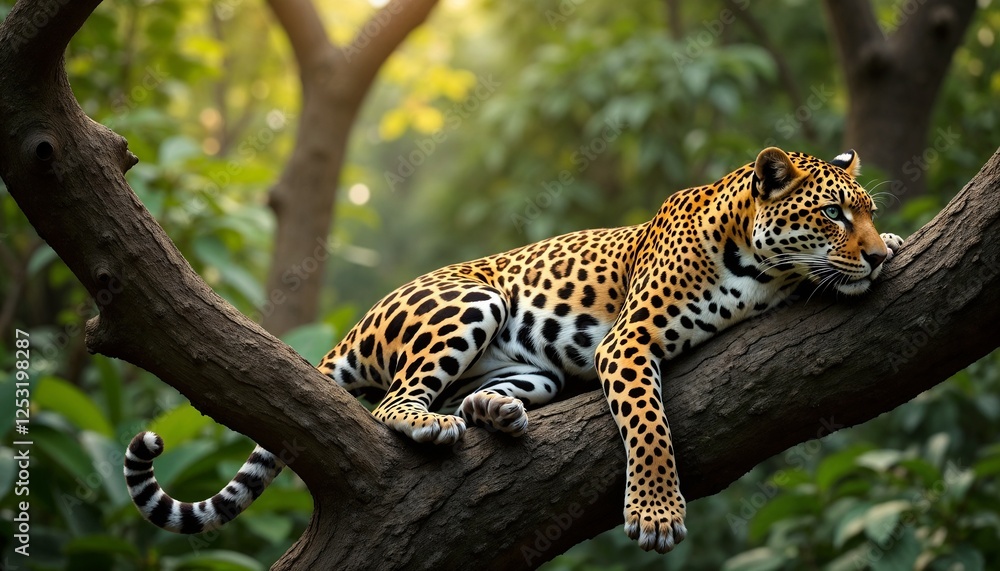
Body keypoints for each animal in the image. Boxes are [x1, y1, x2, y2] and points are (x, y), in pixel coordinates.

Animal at [125, 146, 903, 553]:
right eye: (834, 213)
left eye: (868, 210)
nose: (870, 252)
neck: (754, 261)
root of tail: (357, 325)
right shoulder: (627, 340)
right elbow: (649, 426)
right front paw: (656, 513)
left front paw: (889, 249)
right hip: (472, 302)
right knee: (392, 402)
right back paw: (431, 423)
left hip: (531, 368)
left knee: (468, 390)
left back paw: (494, 413)